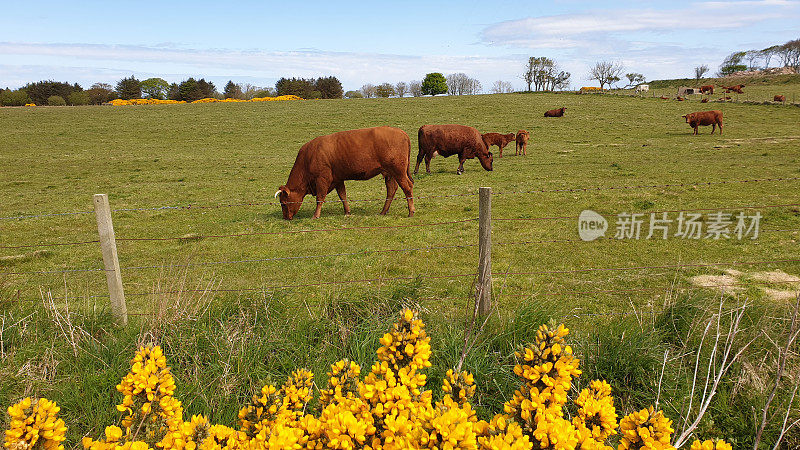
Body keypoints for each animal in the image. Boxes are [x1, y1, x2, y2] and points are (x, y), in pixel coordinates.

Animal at [276, 126, 412, 220]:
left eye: (283, 203)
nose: (285, 218)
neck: (308, 157)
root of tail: (401, 132)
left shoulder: (322, 179)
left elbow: (320, 198)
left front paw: (316, 215)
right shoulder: (338, 179)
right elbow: (342, 196)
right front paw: (347, 212)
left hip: (399, 172)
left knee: (407, 187)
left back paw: (411, 212)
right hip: (389, 173)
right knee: (392, 189)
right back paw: (383, 211)